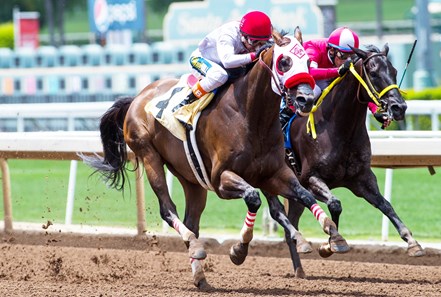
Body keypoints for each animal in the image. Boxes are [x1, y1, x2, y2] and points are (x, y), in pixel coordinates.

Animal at [83, 30, 350, 290]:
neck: (250, 115)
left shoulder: (273, 174)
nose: (306, 100)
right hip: (149, 155)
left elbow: (304, 196)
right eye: (284, 62)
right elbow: (253, 199)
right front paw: (239, 250)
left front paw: (332, 236)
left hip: (191, 178)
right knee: (168, 209)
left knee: (191, 220)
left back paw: (200, 274)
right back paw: (194, 245)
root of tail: (138, 97)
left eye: (308, 62)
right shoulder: (222, 179)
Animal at [276, 43, 422, 268]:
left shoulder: (362, 179)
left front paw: (412, 242)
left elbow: (386, 205)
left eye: (394, 71)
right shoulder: (310, 178)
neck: (340, 129)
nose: (399, 107)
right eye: (373, 72)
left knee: (291, 223)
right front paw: (333, 242)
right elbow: (335, 204)